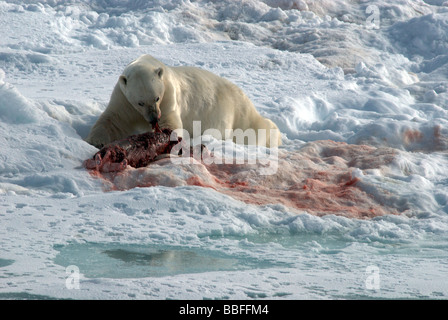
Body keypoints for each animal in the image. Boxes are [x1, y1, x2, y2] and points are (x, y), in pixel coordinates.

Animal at [86, 54, 282, 149]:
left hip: (238, 113)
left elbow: (171, 121)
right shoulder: (124, 99)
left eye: (156, 98)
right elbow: (114, 119)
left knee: (254, 130)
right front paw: (96, 141)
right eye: (140, 102)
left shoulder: (169, 96)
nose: (153, 119)